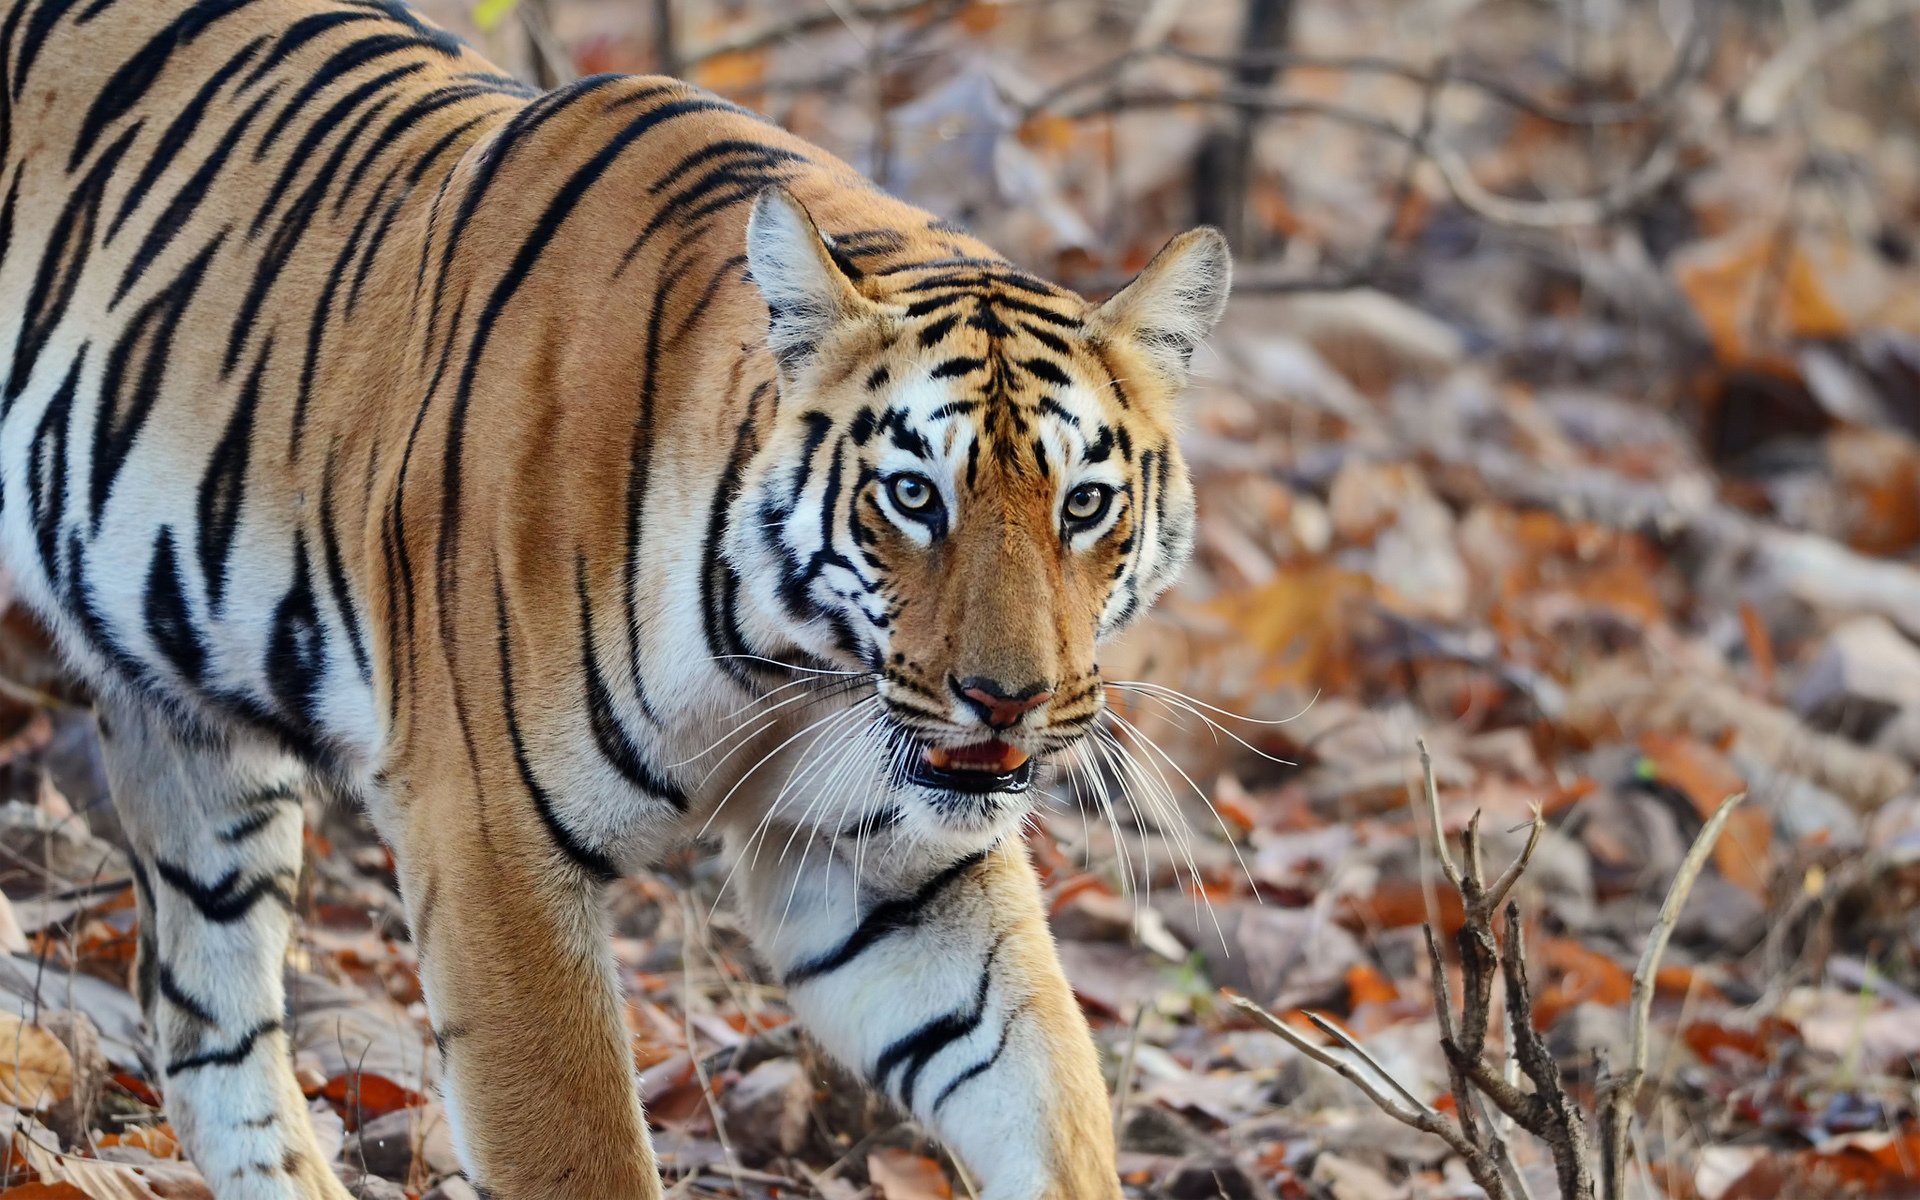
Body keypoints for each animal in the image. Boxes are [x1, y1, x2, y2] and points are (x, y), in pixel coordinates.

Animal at [0, 0, 1231, 1196]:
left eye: (1083, 504)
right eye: (914, 495)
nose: (1008, 700)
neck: (790, 666)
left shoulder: (894, 869)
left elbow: (1050, 1092)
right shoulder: (486, 842)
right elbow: (578, 1147)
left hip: (191, 738)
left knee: (205, 1025)